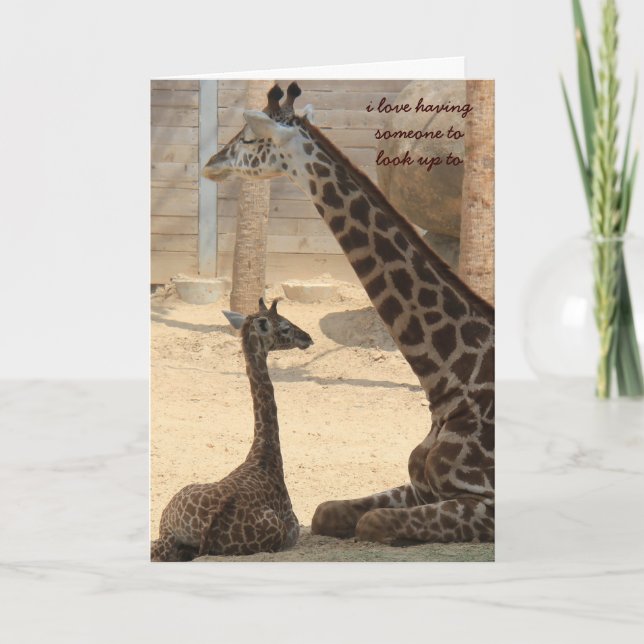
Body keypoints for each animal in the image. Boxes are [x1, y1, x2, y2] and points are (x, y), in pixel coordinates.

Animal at [151, 298, 313, 560]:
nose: (307, 337)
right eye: (286, 327)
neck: (264, 454)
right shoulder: (293, 530)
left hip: (167, 523)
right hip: (273, 534)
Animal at [203, 83, 494, 545]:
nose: (209, 164)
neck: (454, 382)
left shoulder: (487, 501)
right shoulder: (420, 486)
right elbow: (327, 512)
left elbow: (371, 522)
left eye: (248, 138)